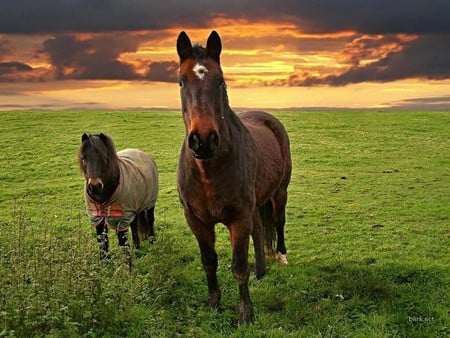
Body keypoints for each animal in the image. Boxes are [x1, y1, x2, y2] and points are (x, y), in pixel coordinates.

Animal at [78, 133, 158, 266]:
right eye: (84, 158)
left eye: (104, 158)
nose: (94, 186)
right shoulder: (98, 217)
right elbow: (102, 241)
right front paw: (105, 264)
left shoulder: (121, 218)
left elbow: (123, 243)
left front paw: (127, 266)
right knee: (134, 224)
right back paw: (136, 246)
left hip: (149, 203)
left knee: (149, 220)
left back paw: (152, 242)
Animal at [176, 31, 292, 324]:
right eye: (181, 82)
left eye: (219, 80)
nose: (203, 140)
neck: (209, 171)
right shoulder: (196, 220)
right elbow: (209, 261)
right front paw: (213, 304)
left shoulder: (238, 218)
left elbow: (239, 266)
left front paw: (245, 314)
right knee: (260, 229)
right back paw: (261, 271)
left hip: (279, 193)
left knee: (278, 221)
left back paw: (281, 257)